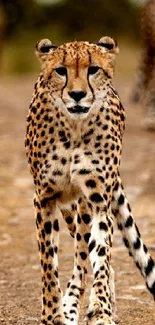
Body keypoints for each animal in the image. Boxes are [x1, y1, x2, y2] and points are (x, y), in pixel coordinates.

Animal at [25, 36, 155, 324]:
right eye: (61, 71)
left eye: (93, 69)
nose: (77, 94)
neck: (74, 128)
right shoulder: (46, 199)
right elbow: (48, 265)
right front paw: (52, 315)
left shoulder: (97, 201)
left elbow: (101, 257)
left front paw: (102, 310)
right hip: (68, 208)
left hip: (84, 206)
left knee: (86, 256)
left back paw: (85, 305)